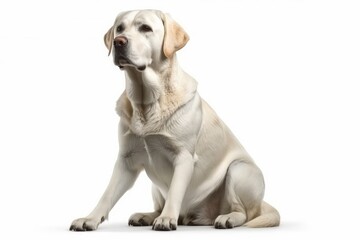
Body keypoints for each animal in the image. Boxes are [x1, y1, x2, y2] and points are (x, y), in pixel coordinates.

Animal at [69, 8, 278, 231]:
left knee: (244, 213)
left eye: (145, 28)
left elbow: (175, 191)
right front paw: (90, 218)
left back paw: (227, 218)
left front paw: (167, 218)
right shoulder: (126, 159)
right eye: (119, 29)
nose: (119, 42)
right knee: (159, 205)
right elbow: (107, 194)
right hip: (156, 188)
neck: (147, 102)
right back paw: (147, 216)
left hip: (239, 170)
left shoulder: (184, 156)